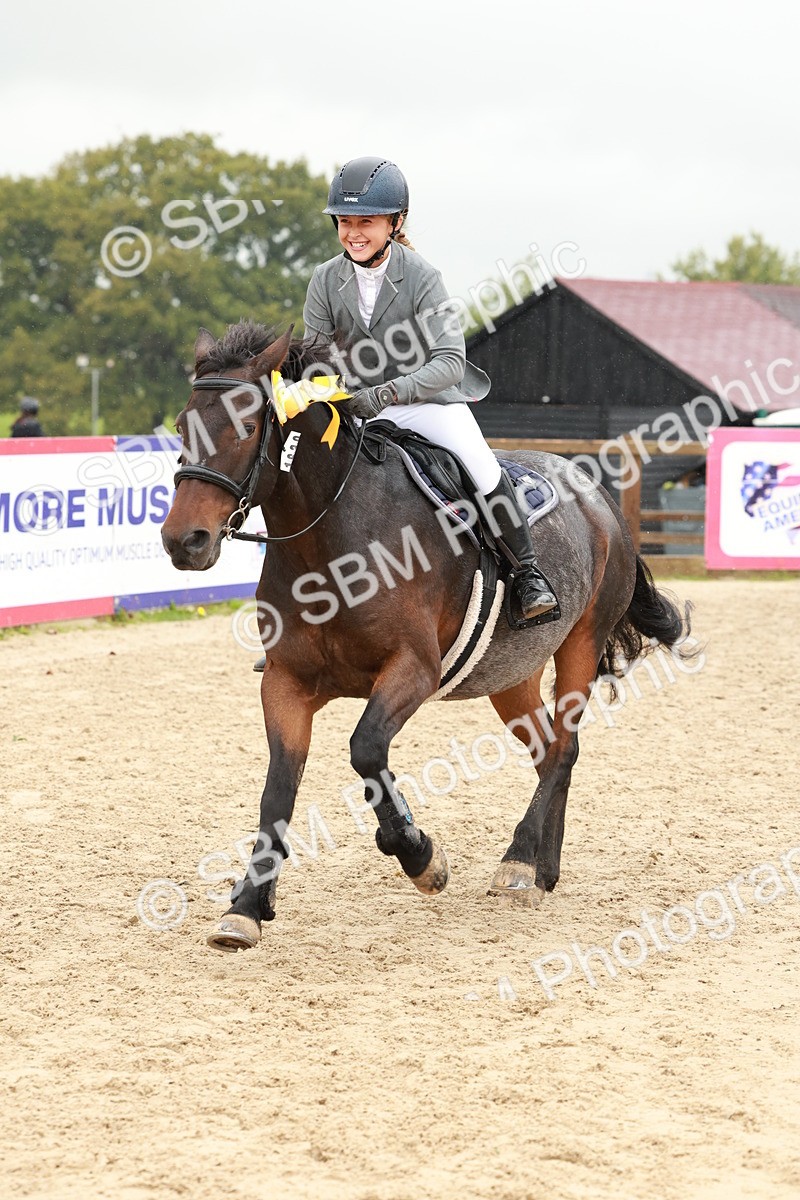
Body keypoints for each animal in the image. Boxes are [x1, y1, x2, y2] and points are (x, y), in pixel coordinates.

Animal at [161, 320, 693, 952]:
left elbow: (366, 750)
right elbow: (278, 788)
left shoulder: (412, 670)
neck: (329, 538)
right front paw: (245, 906)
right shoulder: (287, 681)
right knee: (548, 750)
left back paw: (518, 863)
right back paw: (544, 868)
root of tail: (593, 489)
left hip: (581, 645)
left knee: (564, 747)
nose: (183, 541)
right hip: (511, 674)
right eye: (181, 426)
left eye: (246, 425)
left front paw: (419, 856)